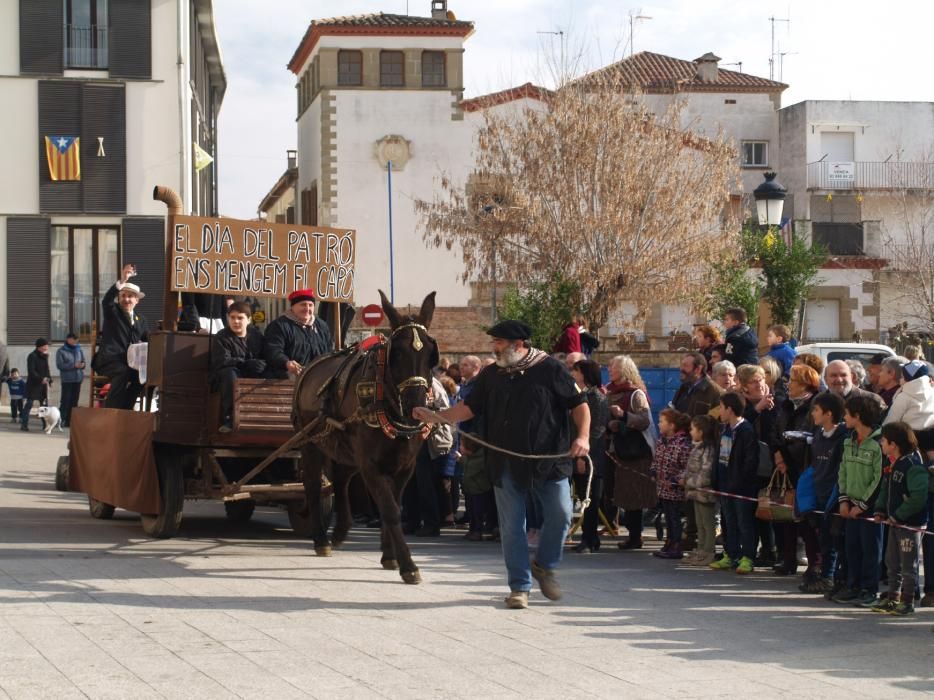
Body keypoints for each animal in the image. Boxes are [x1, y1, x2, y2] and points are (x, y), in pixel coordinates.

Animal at [292, 288, 438, 584]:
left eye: (431, 353)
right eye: (397, 353)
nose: (416, 404)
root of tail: (309, 368)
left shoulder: (404, 466)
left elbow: (391, 505)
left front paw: (389, 555)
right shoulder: (371, 466)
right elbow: (390, 510)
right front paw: (408, 565)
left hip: (345, 450)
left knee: (340, 479)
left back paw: (340, 530)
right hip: (312, 444)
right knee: (312, 486)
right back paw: (321, 539)